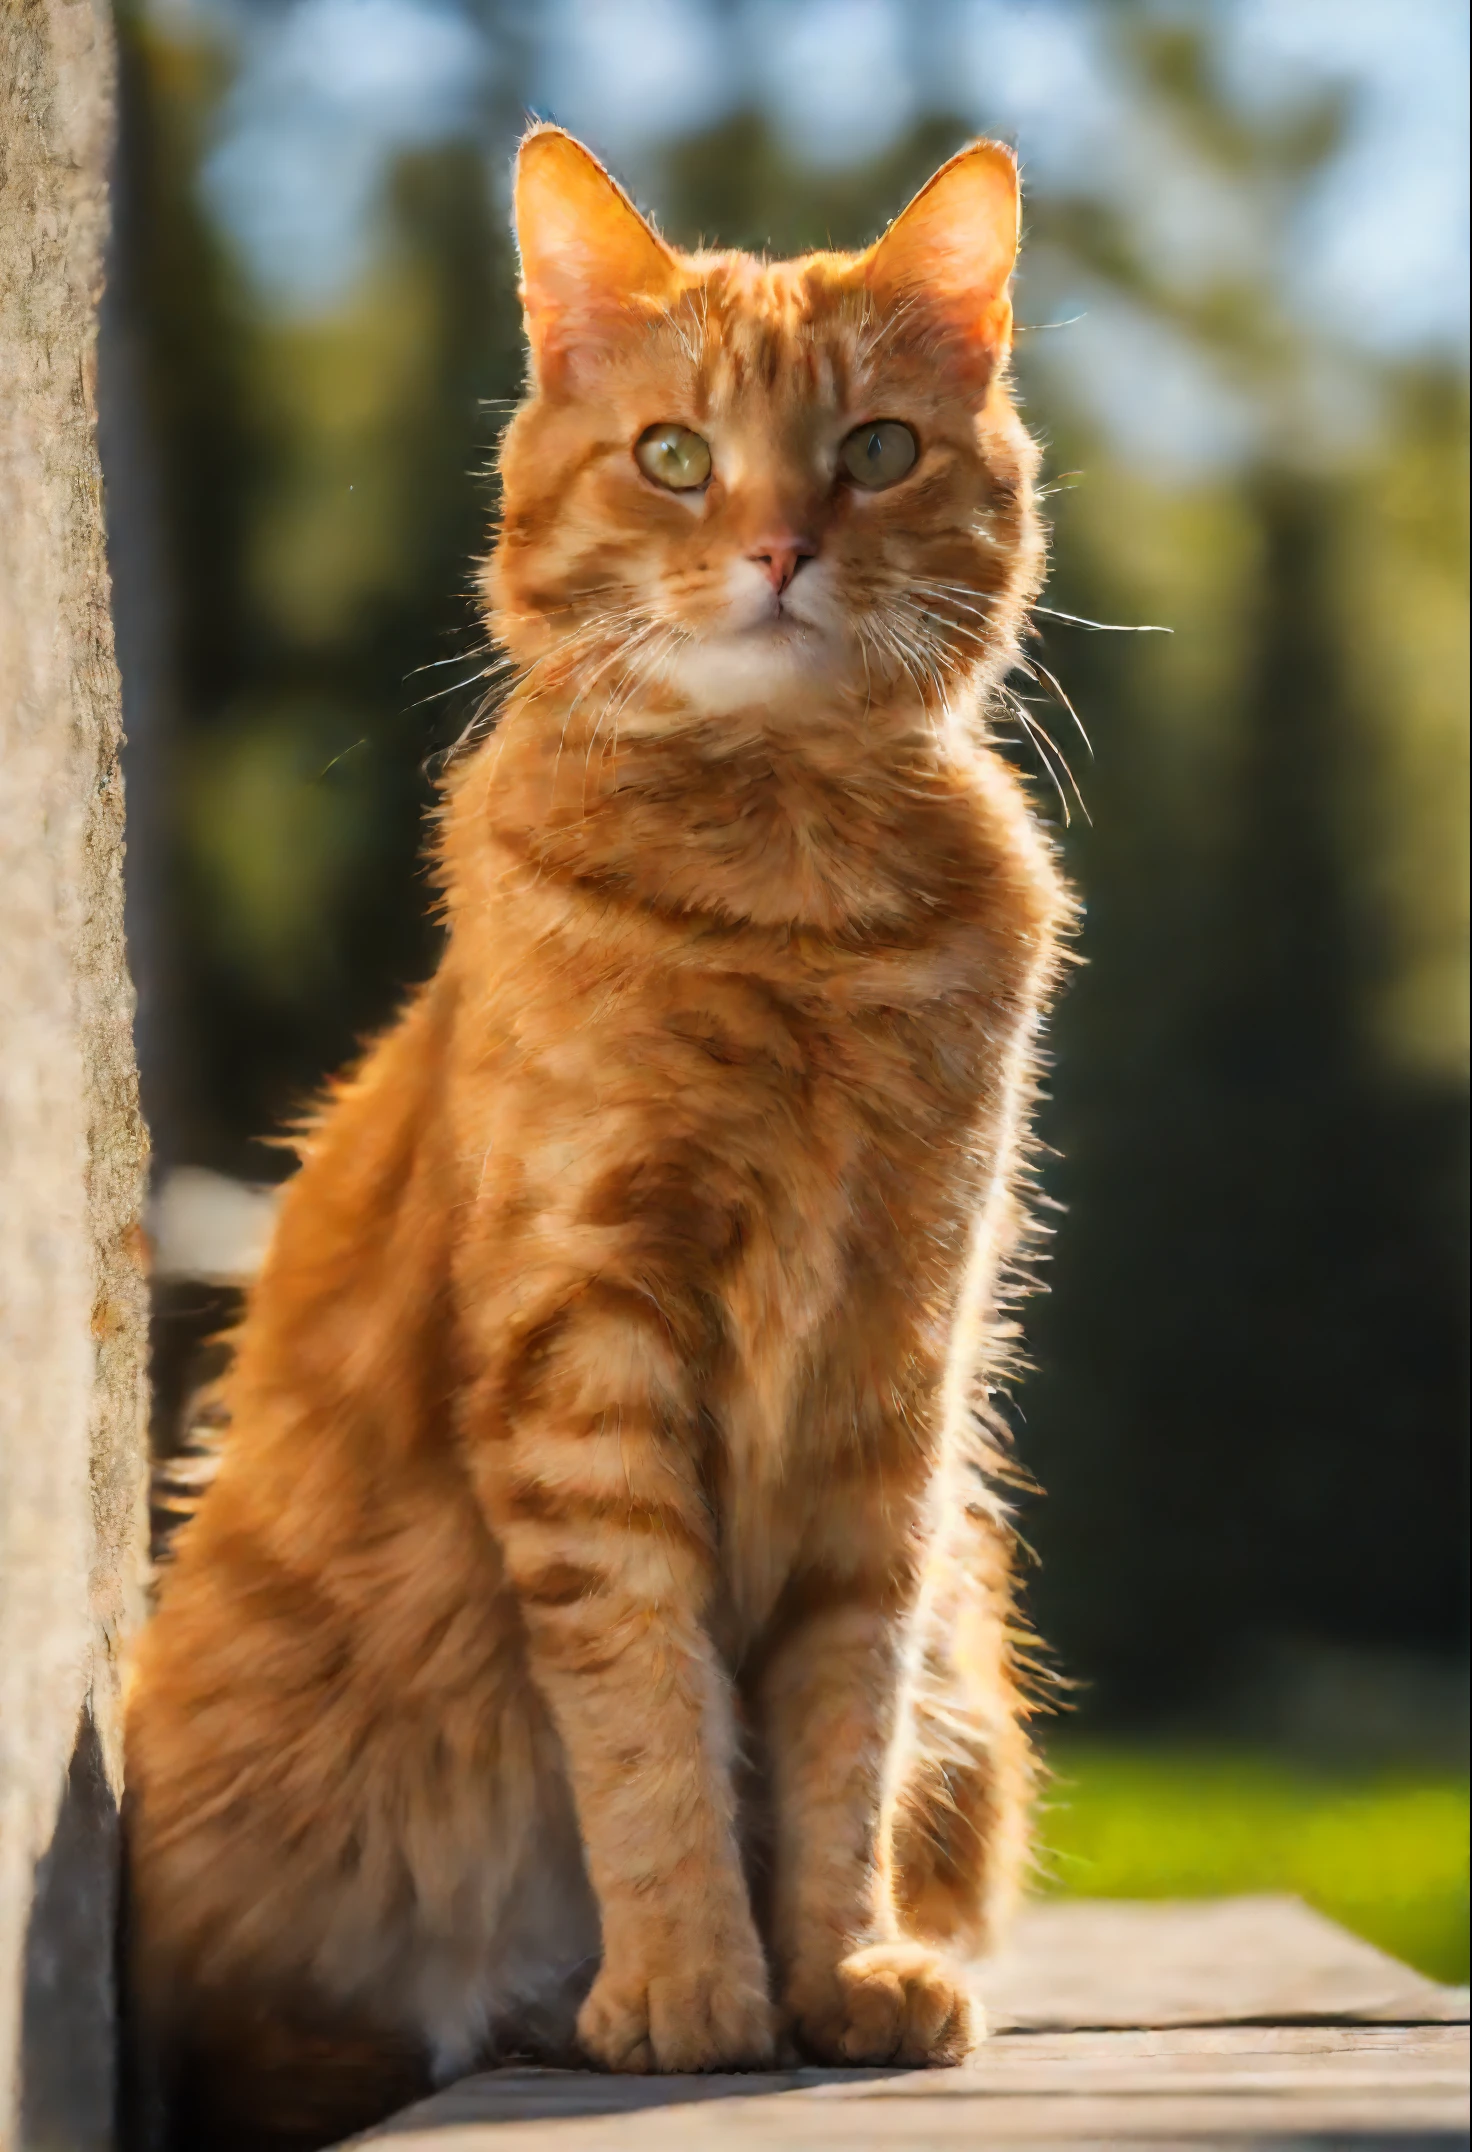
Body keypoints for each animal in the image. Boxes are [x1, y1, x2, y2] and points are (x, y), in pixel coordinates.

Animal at [126, 125, 1067, 2143]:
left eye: (877, 450)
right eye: (678, 458)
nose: (781, 547)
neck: (793, 900)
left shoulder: (898, 1362)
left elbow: (840, 1714)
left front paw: (836, 1971)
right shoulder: (587, 1353)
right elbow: (643, 1700)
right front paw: (690, 1987)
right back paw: (530, 2003)